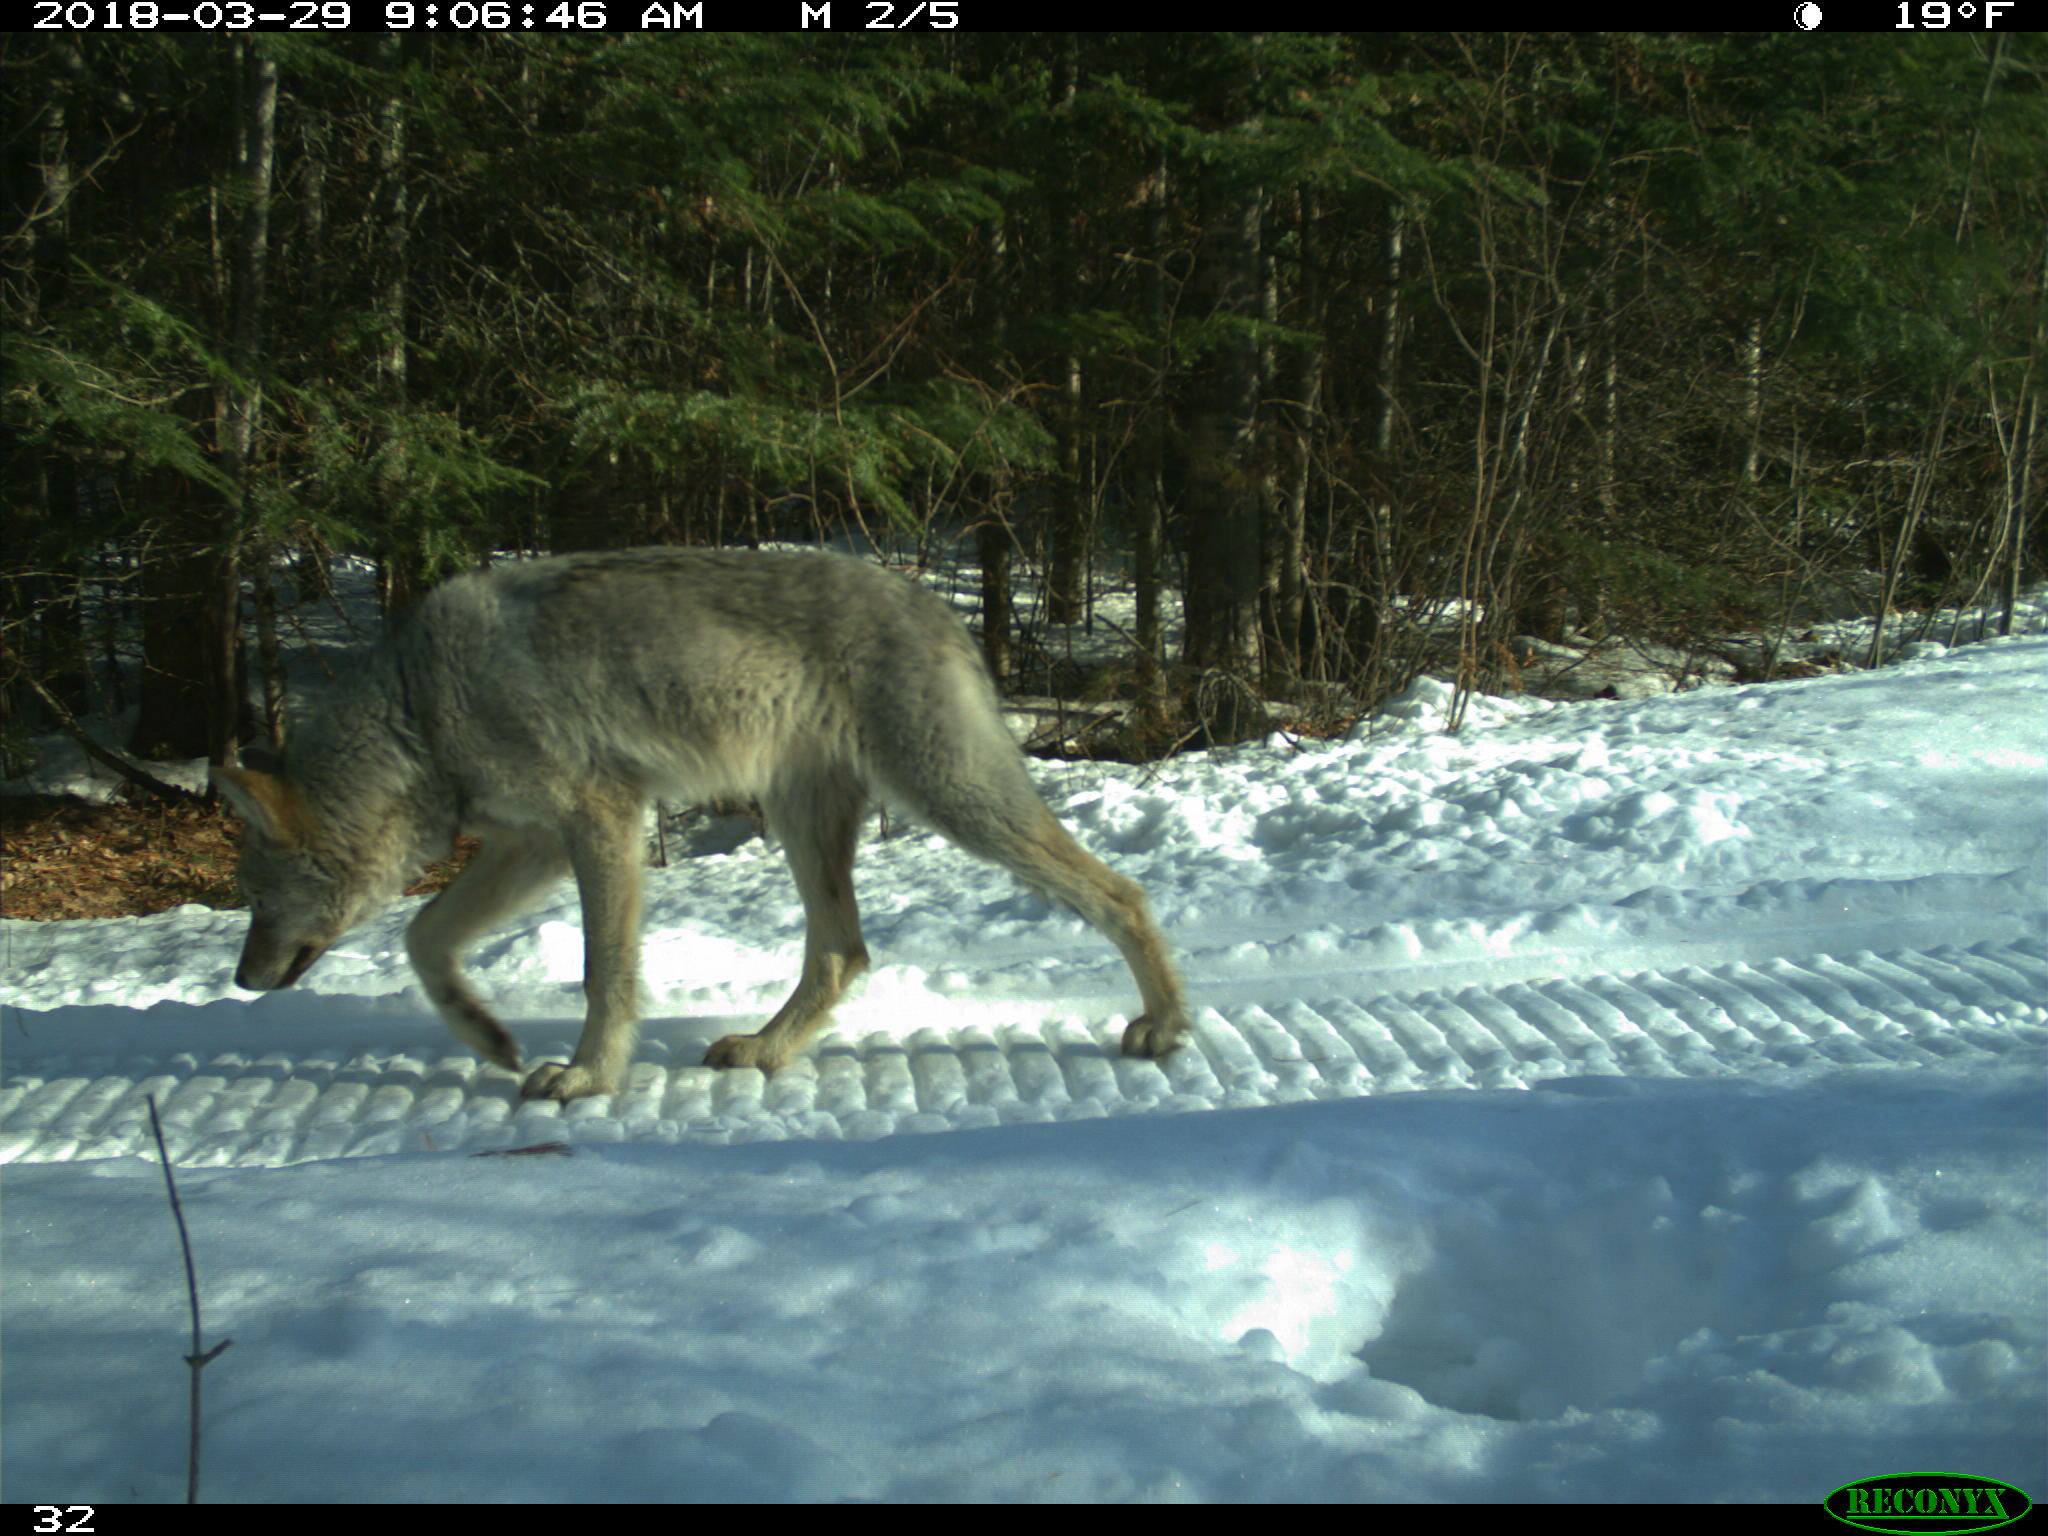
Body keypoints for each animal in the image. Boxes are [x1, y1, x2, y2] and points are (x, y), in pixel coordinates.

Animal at [211, 548, 1187, 1097]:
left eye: (256, 895)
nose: (243, 980)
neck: (420, 707)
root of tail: (936, 603)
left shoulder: (599, 821)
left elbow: (604, 975)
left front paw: (587, 1078)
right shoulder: (532, 844)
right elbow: (423, 938)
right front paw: (488, 1038)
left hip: (952, 800)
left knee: (1122, 894)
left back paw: (1164, 1026)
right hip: (805, 821)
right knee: (843, 953)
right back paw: (764, 1050)